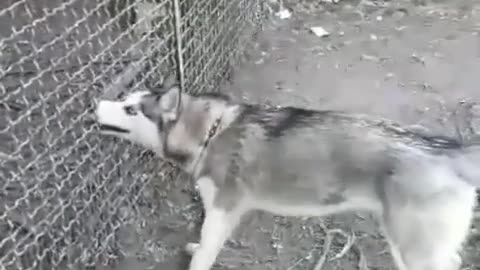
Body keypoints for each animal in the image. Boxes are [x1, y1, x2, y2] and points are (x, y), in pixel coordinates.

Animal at [94, 82, 480, 270]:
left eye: (131, 109)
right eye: (125, 100)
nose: (95, 104)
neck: (209, 133)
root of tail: (451, 150)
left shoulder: (222, 208)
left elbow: (206, 250)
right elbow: (204, 243)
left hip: (413, 250)